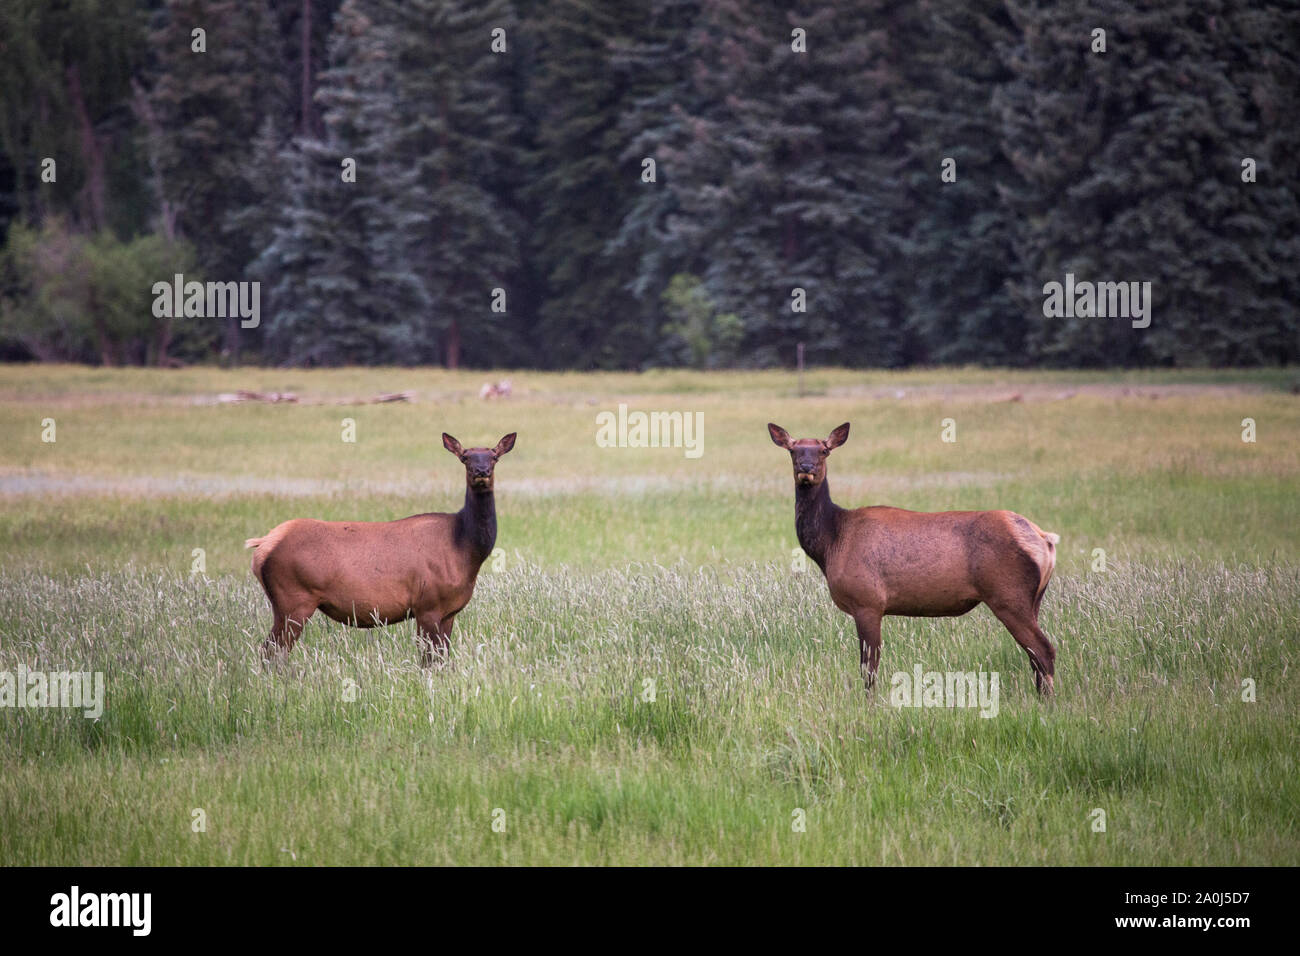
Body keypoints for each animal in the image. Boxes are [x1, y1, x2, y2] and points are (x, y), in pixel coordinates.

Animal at [245, 431, 514, 665]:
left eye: (494, 456)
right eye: (465, 457)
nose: (481, 471)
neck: (465, 551)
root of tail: (263, 545)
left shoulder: (449, 611)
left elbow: (442, 659)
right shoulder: (427, 604)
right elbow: (428, 660)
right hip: (293, 599)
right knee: (271, 651)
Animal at [764, 424, 1060, 697]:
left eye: (824, 450)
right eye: (793, 450)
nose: (806, 467)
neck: (832, 543)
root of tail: (1045, 540)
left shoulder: (868, 601)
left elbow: (869, 667)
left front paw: (871, 705)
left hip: (1008, 595)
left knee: (1044, 650)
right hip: (1033, 599)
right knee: (1035, 656)